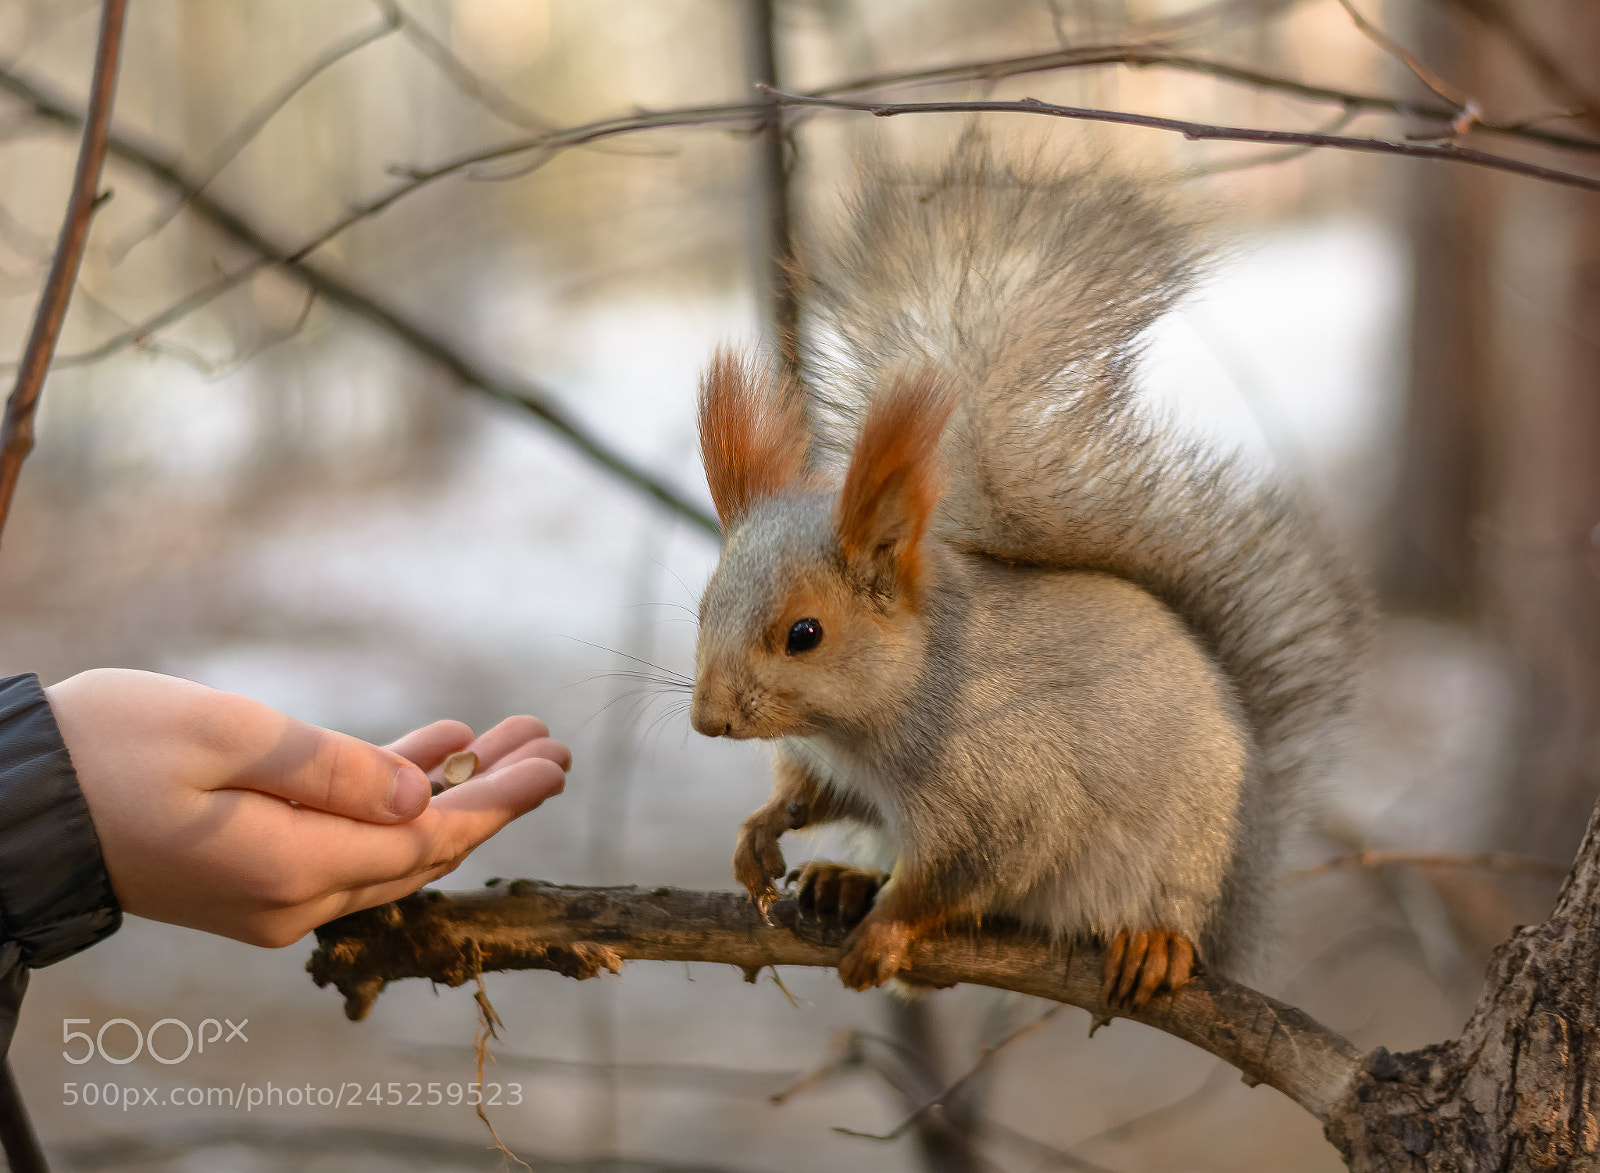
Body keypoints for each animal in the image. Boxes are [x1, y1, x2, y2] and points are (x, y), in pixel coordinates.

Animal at [687, 141, 1373, 1005]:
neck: (863, 722)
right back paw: (845, 880)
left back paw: (1155, 942)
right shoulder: (837, 767)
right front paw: (761, 828)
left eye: (804, 634)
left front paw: (887, 928)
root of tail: (1244, 898)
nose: (707, 721)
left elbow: (968, 868)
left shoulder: (1008, 785)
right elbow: (811, 794)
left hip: (1188, 864)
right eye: (702, 608)